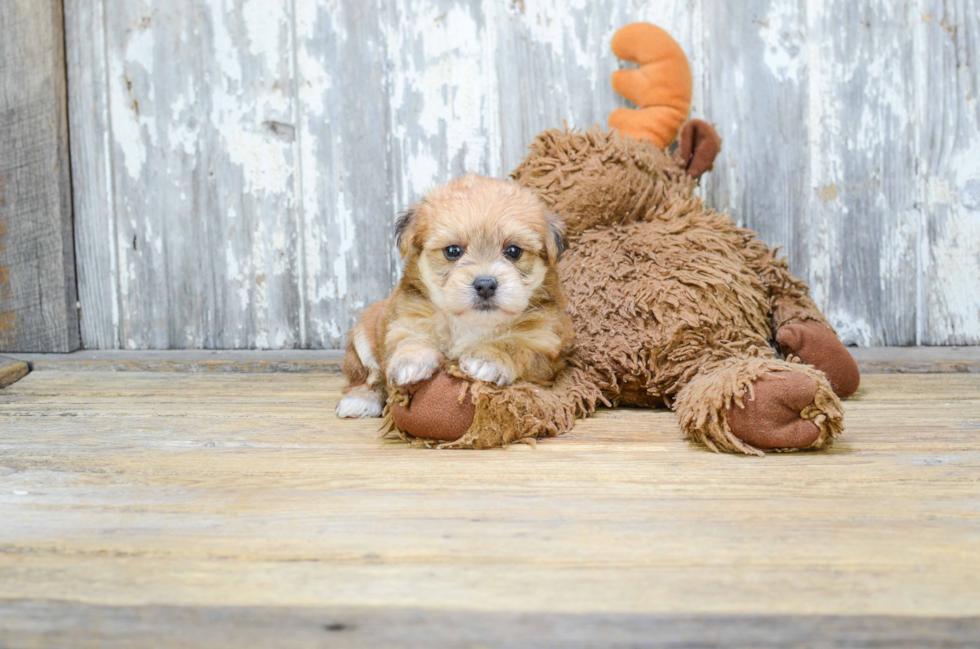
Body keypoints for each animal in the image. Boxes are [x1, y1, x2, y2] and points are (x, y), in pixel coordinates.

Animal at [336, 175, 576, 418]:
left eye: (513, 251)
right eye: (452, 251)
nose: (485, 285)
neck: (472, 324)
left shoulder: (544, 345)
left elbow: (516, 345)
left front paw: (488, 357)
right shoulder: (405, 321)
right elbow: (412, 338)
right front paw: (411, 360)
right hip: (363, 334)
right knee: (368, 375)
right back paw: (360, 399)